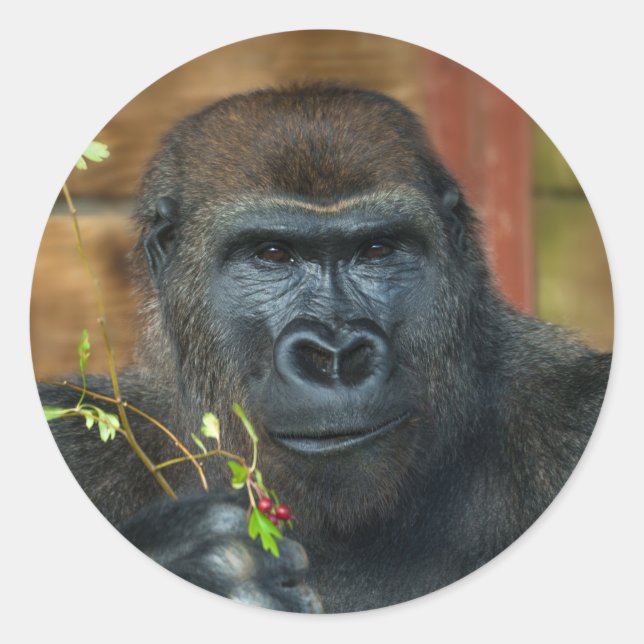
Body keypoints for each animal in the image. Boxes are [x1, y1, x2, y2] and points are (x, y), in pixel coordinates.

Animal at [39, 84, 611, 613]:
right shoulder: (79, 440)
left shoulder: (573, 413)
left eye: (377, 250)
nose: (335, 356)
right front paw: (205, 562)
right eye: (272, 254)